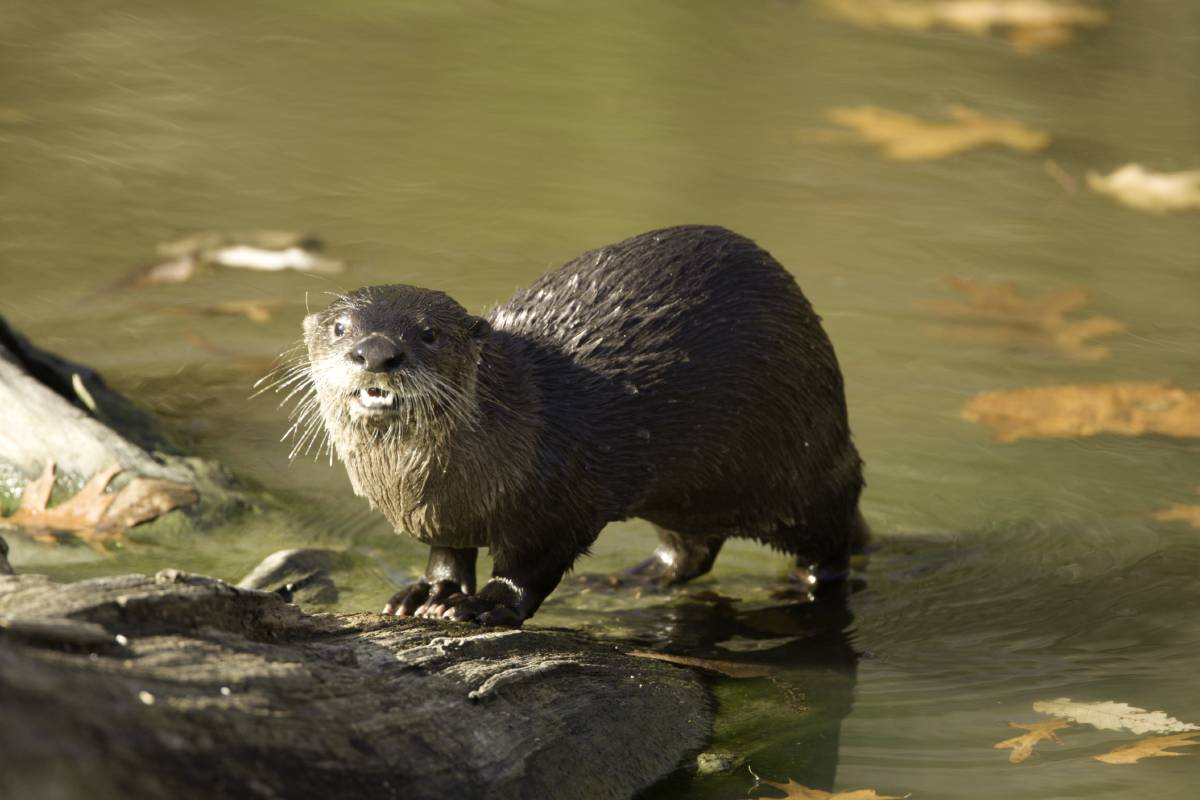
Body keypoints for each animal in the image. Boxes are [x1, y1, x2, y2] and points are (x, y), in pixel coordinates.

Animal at [283, 225, 866, 625]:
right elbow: (446, 556)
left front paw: (485, 605)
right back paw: (627, 580)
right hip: (690, 496)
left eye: (428, 333)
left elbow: (530, 565)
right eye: (341, 328)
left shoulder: (560, 498)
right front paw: (427, 594)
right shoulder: (445, 518)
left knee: (832, 540)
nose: (377, 352)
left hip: (800, 466)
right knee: (691, 552)